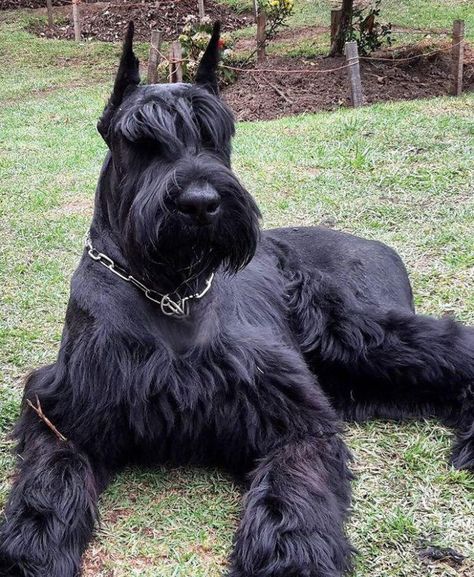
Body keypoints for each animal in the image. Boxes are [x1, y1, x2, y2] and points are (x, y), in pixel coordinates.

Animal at [0, 21, 472, 576]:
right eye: (140, 140)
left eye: (216, 135)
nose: (201, 203)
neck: (172, 293)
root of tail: (381, 248)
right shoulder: (65, 410)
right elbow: (50, 480)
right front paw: (31, 550)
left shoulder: (291, 416)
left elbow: (292, 487)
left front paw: (292, 558)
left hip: (359, 334)